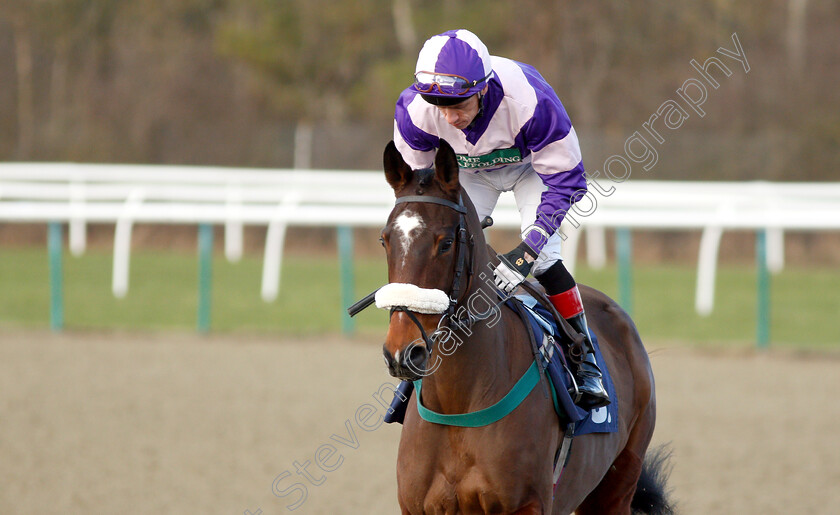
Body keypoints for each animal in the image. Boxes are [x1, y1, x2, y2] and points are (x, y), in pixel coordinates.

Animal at [374, 141, 668, 515]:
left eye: (445, 243)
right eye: (385, 240)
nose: (402, 352)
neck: (458, 404)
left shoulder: (527, 503)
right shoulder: (416, 507)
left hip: (618, 483)